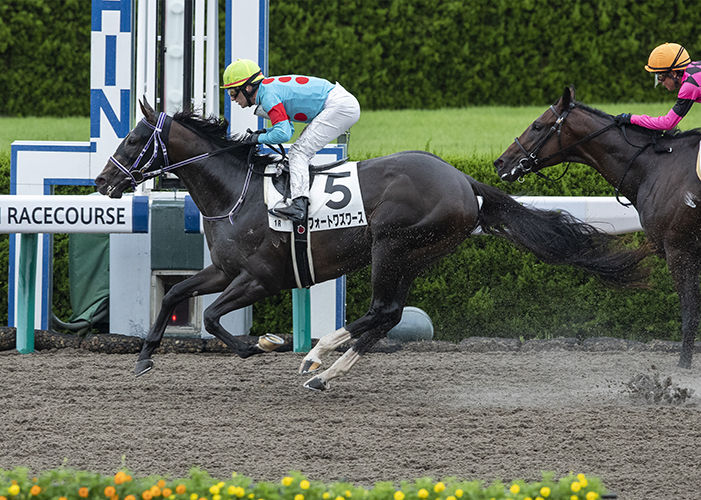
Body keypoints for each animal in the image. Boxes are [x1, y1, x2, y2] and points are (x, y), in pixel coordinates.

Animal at [95, 98, 649, 391]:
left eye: (132, 140)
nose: (103, 182)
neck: (237, 193)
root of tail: (463, 181)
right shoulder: (227, 271)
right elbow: (174, 293)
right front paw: (144, 357)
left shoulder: (262, 277)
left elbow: (211, 318)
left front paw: (262, 343)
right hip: (417, 254)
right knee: (387, 315)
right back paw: (324, 369)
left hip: (393, 246)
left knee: (383, 311)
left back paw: (318, 356)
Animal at [494, 85, 701, 369]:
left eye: (537, 125)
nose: (500, 163)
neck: (656, 166)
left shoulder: (679, 249)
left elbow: (689, 310)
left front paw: (683, 364)